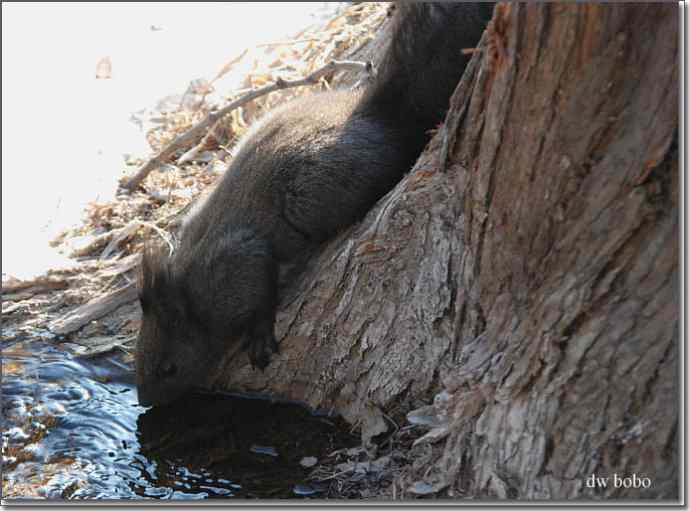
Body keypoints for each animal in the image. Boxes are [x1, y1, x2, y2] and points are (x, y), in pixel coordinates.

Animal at [134, 2, 492, 406]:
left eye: (169, 368)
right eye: (137, 359)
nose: (144, 400)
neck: (191, 293)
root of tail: (377, 121)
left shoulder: (235, 266)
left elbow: (260, 293)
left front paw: (259, 333)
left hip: (314, 193)